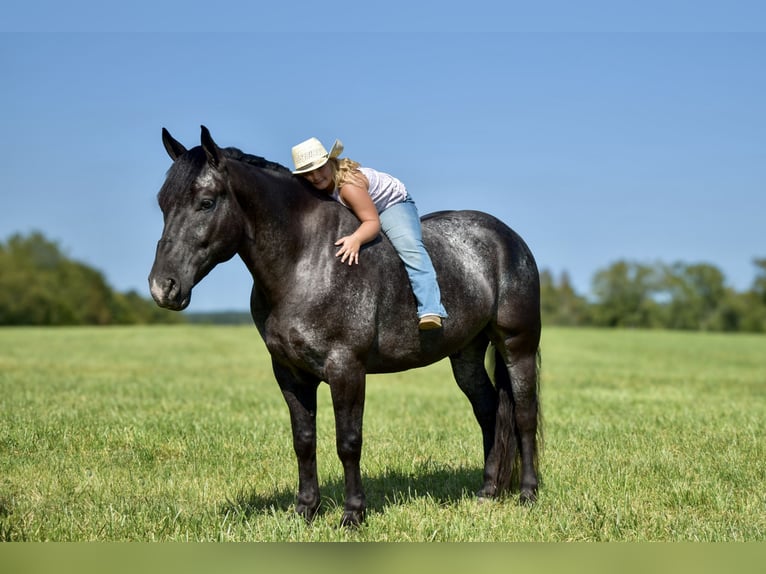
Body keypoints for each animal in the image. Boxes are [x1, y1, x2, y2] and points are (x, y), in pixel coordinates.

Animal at [150, 126, 544, 528]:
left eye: (206, 203)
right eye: (163, 203)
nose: (162, 287)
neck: (307, 259)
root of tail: (508, 238)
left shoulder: (346, 369)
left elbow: (348, 441)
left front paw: (353, 513)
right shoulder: (289, 373)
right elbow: (304, 440)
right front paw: (305, 509)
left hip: (517, 344)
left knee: (524, 415)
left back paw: (528, 493)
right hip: (466, 353)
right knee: (489, 412)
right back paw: (488, 492)